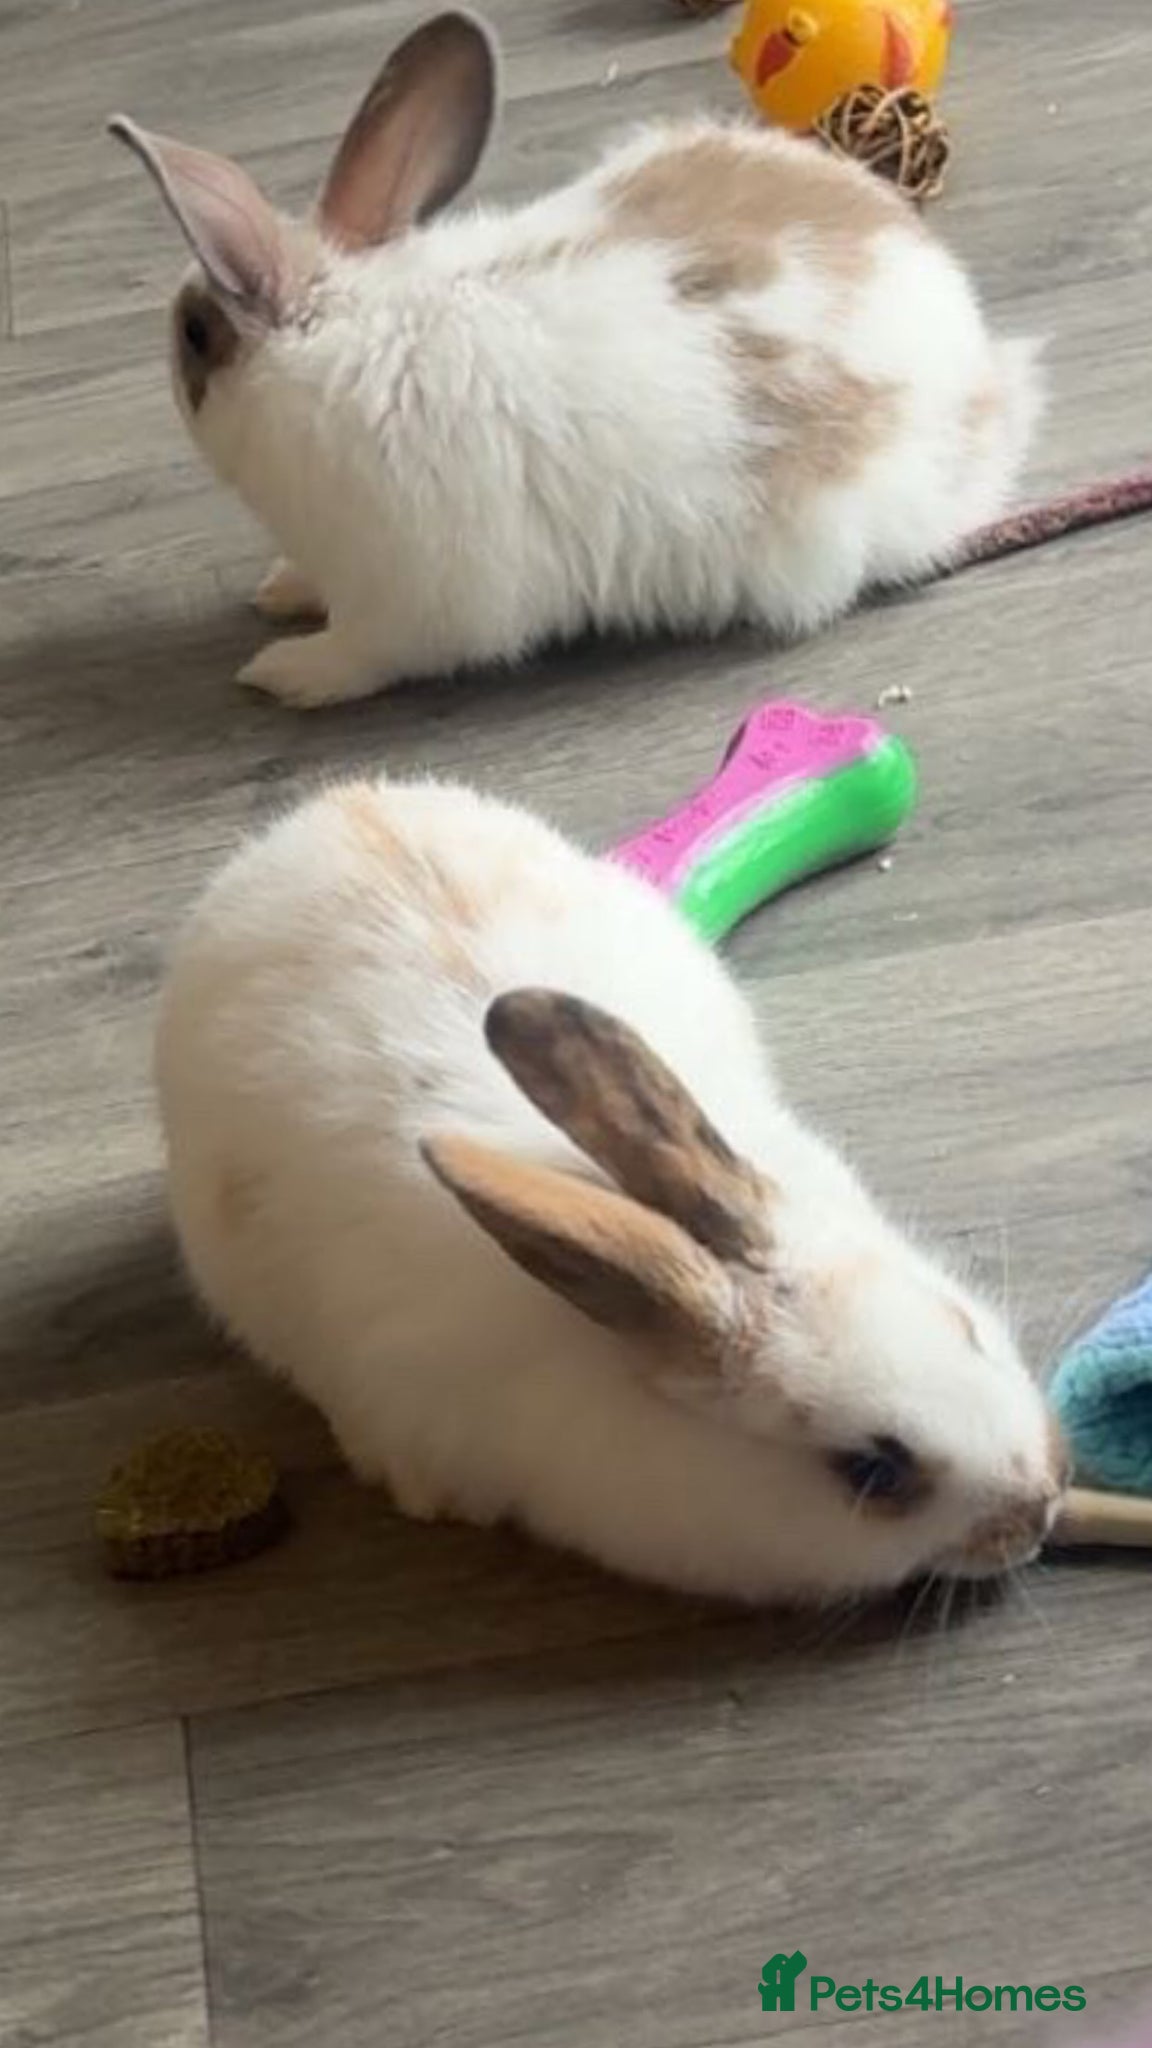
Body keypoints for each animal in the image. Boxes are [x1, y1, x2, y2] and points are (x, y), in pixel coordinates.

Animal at [110, 10, 1041, 711]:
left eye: (195, 337)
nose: (172, 379)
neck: (337, 325)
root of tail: (980, 369)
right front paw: (279, 590)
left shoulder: (403, 603)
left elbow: (359, 656)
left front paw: (280, 673)